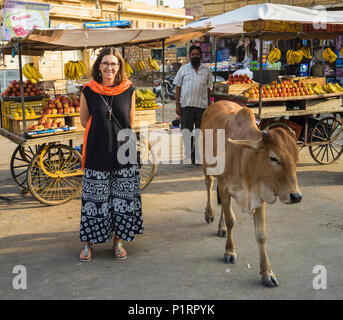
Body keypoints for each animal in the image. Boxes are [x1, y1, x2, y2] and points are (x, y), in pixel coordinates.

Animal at [200, 100, 302, 288]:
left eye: (296, 159)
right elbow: (231, 220)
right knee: (209, 184)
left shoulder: (259, 196)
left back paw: (221, 227)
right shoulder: (225, 188)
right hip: (206, 166)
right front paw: (230, 251)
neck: (245, 160)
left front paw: (267, 273)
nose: (296, 196)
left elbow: (261, 235)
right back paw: (209, 213)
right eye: (273, 158)